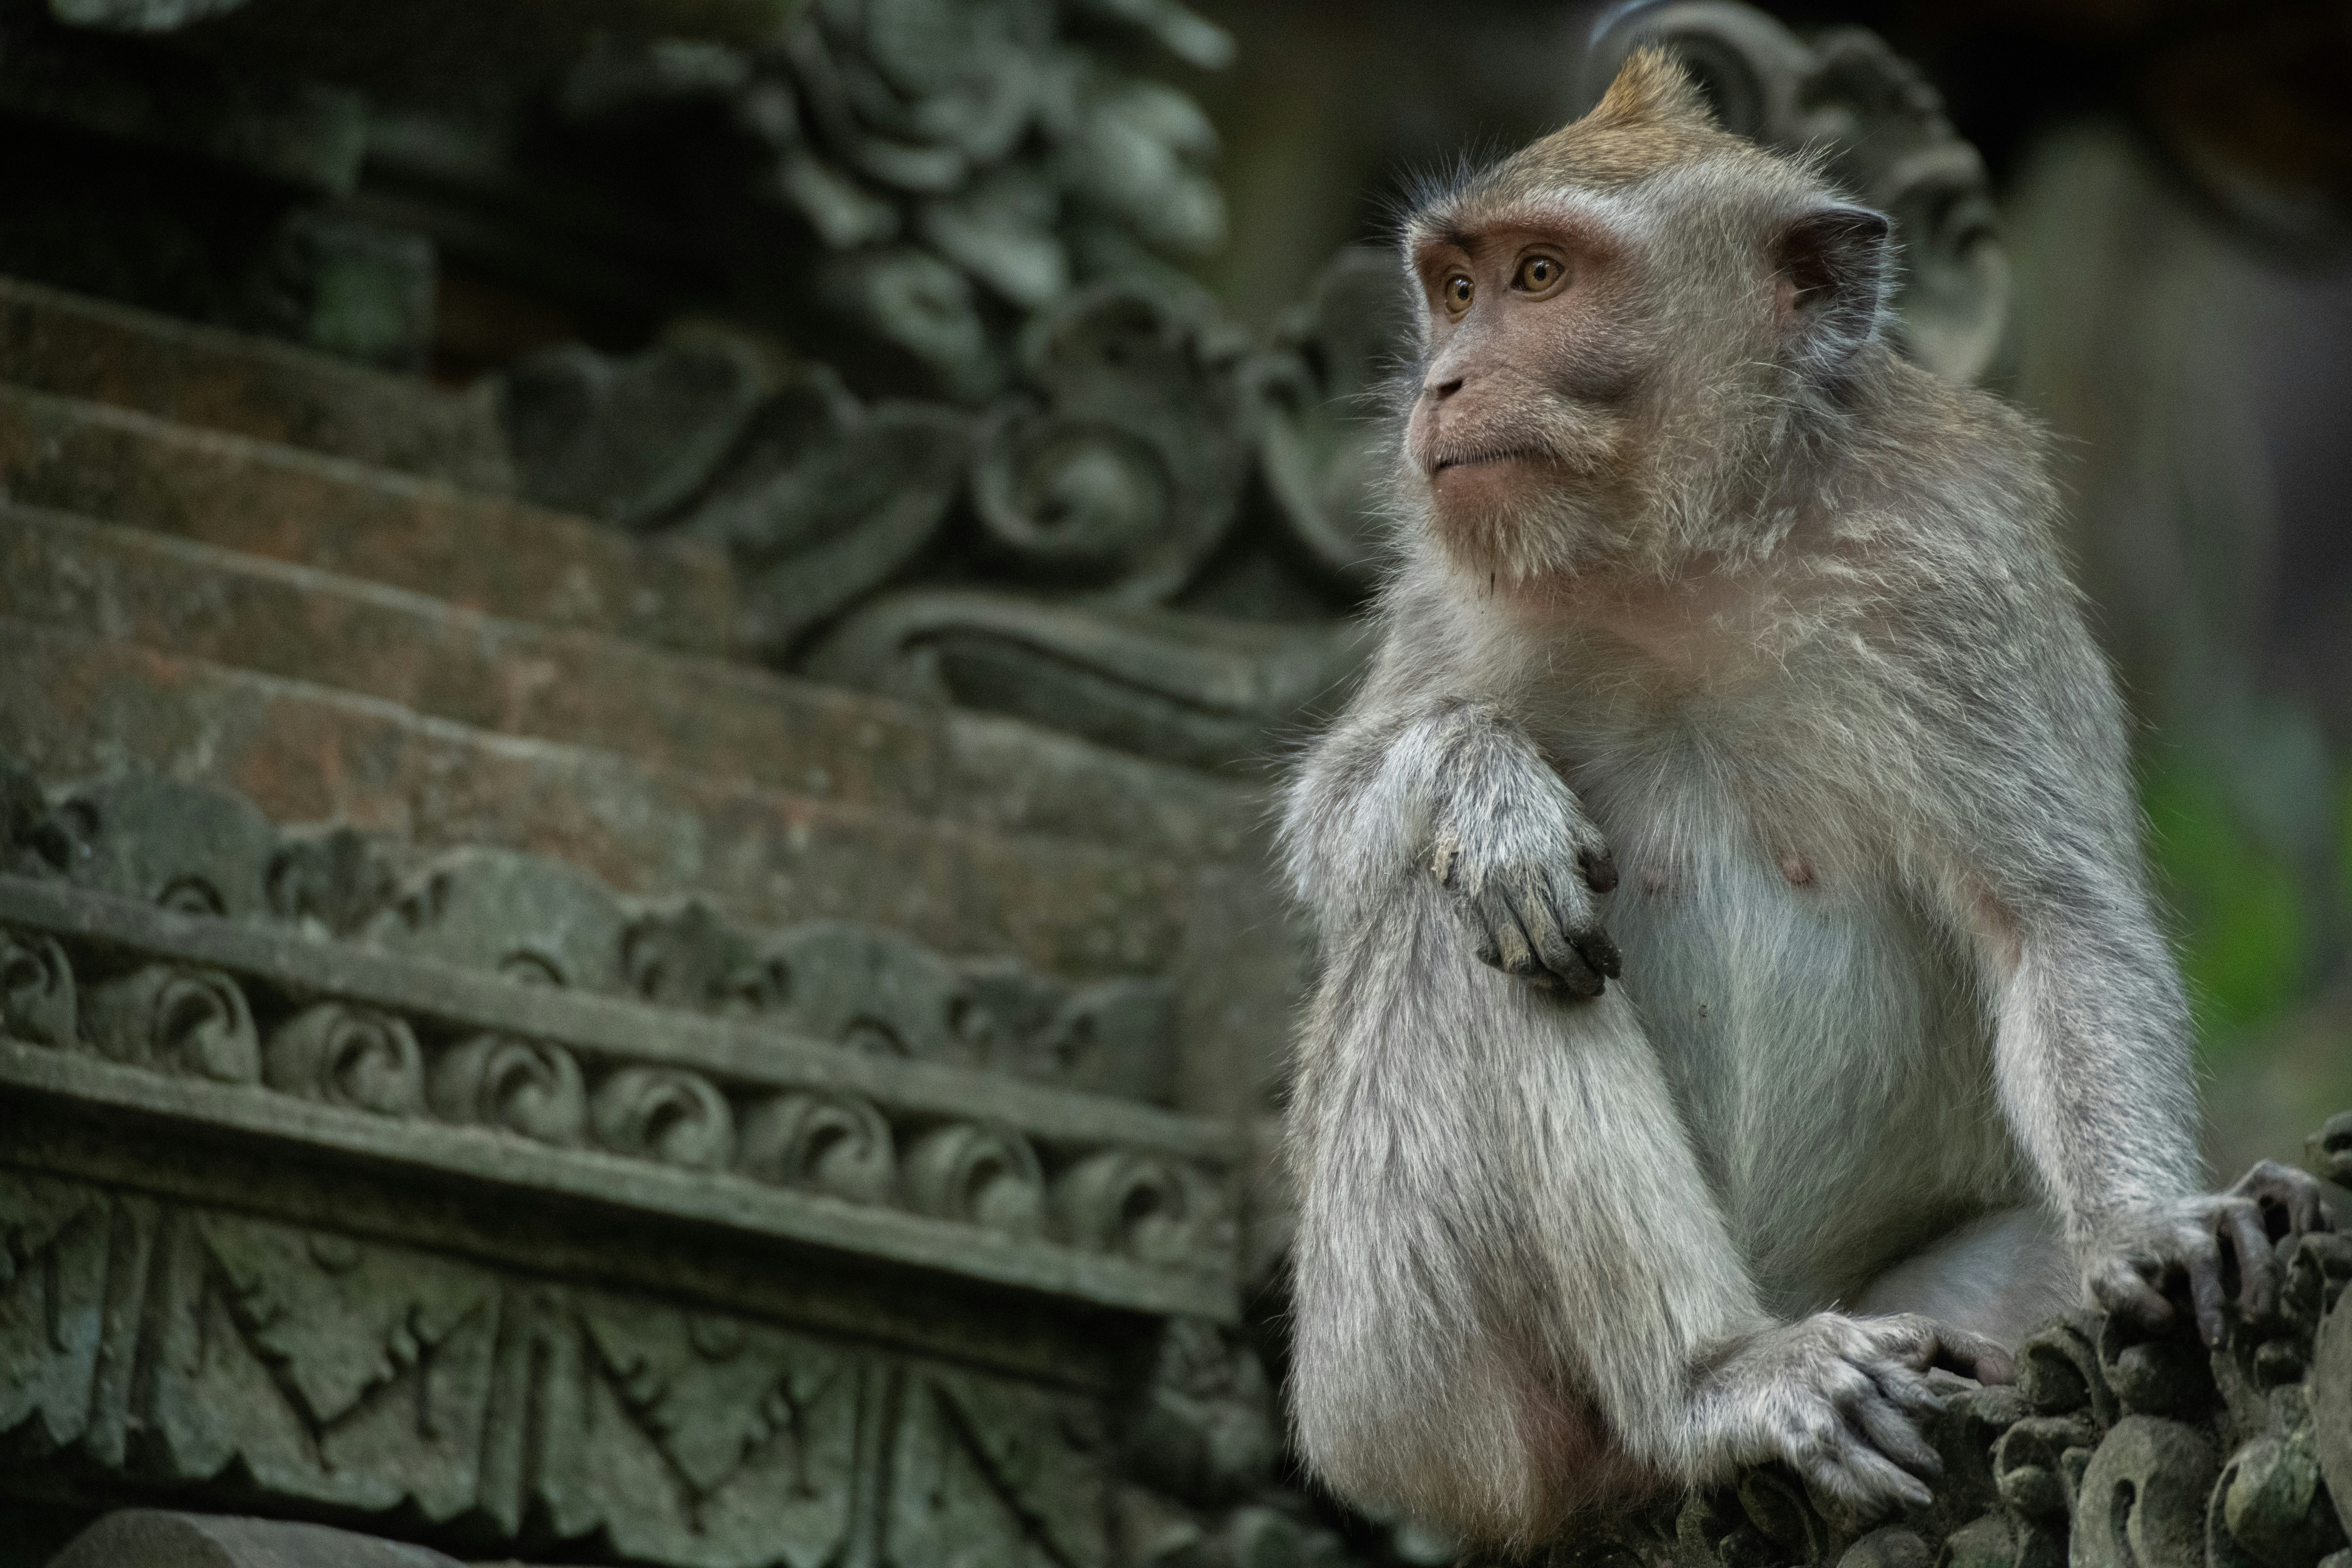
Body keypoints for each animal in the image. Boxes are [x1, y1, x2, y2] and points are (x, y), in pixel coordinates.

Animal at [1276, 49, 2334, 1552]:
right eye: (1457, 286)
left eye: (1540, 276)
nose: (1441, 380)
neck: (1691, 555)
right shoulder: (1452, 571)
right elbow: (1332, 820)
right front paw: (1491, 795)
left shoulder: (1952, 553)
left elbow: (2049, 913)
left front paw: (2145, 1232)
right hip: (1389, 1383)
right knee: (1457, 926)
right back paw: (1709, 1377)